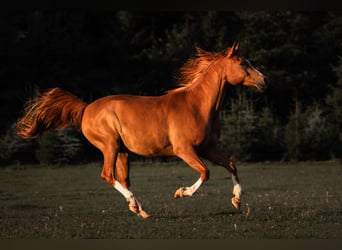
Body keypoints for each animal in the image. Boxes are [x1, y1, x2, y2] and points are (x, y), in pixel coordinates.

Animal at [17, 43, 266, 219]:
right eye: (242, 63)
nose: (264, 80)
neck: (197, 105)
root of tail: (85, 108)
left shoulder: (207, 147)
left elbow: (231, 164)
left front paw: (236, 200)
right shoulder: (184, 150)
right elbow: (205, 173)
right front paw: (181, 192)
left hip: (123, 152)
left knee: (123, 179)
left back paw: (140, 209)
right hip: (110, 146)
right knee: (107, 175)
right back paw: (136, 206)